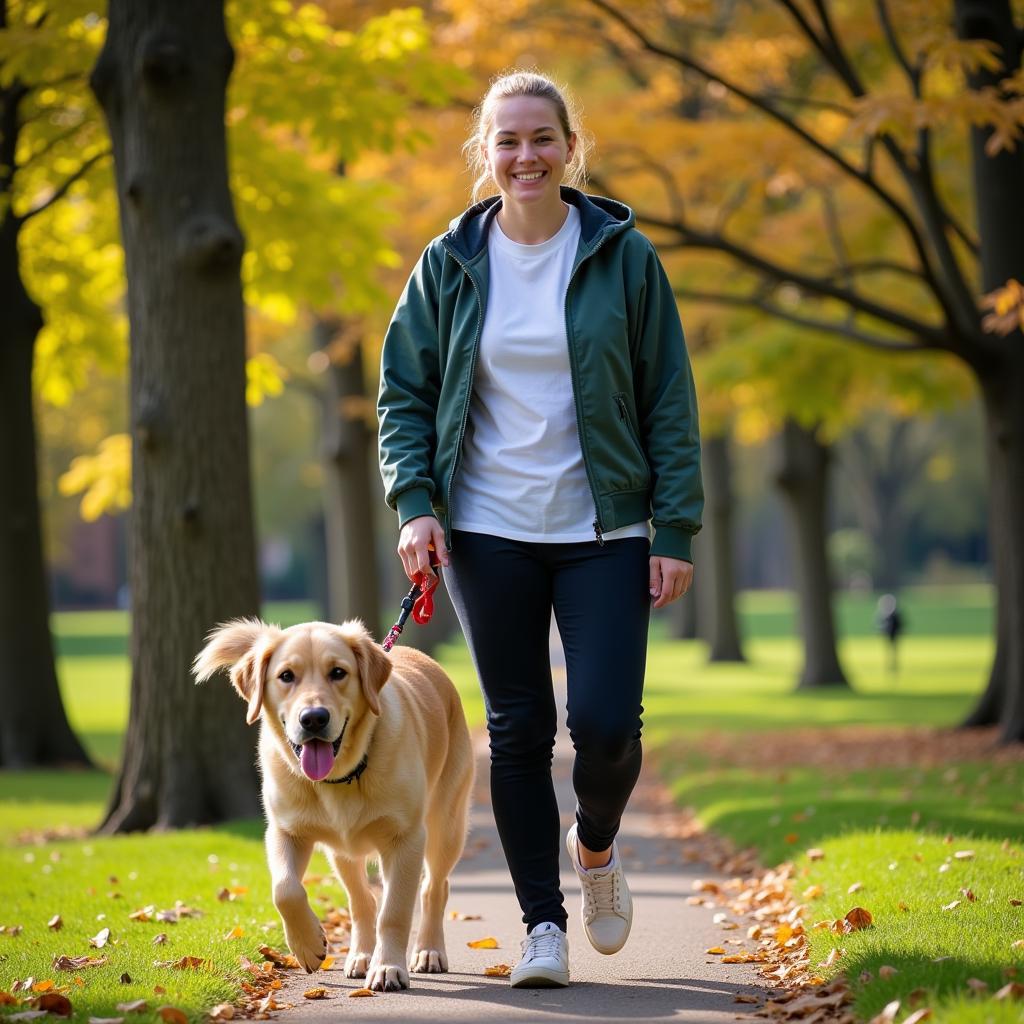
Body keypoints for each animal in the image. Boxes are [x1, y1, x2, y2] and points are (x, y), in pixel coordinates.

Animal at [193, 614, 473, 991]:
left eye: (338, 672)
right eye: (286, 676)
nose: (313, 718)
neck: (341, 776)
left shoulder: (405, 839)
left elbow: (395, 911)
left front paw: (388, 968)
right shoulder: (284, 832)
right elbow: (285, 890)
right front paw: (308, 945)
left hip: (446, 823)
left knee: (433, 887)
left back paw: (428, 951)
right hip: (342, 853)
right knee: (362, 900)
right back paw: (361, 956)